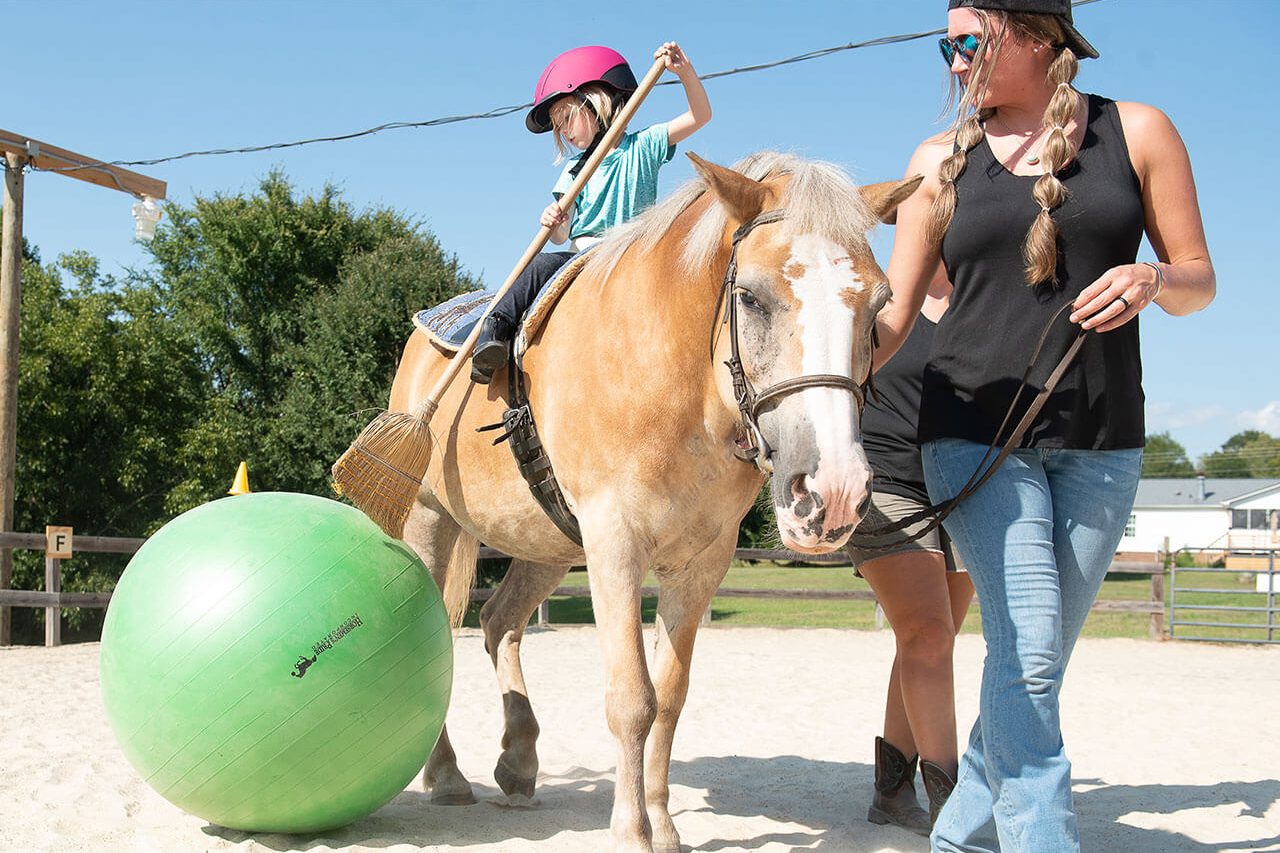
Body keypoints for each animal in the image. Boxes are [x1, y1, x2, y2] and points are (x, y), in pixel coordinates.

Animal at [386, 153, 921, 850]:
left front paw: (662, 824)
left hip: (547, 543)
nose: (832, 491)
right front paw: (631, 830)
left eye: (879, 303)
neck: (673, 384)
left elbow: (668, 696)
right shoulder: (616, 545)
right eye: (750, 296)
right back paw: (448, 775)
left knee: (500, 621)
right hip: (432, 521)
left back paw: (518, 762)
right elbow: (631, 700)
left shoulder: (701, 563)